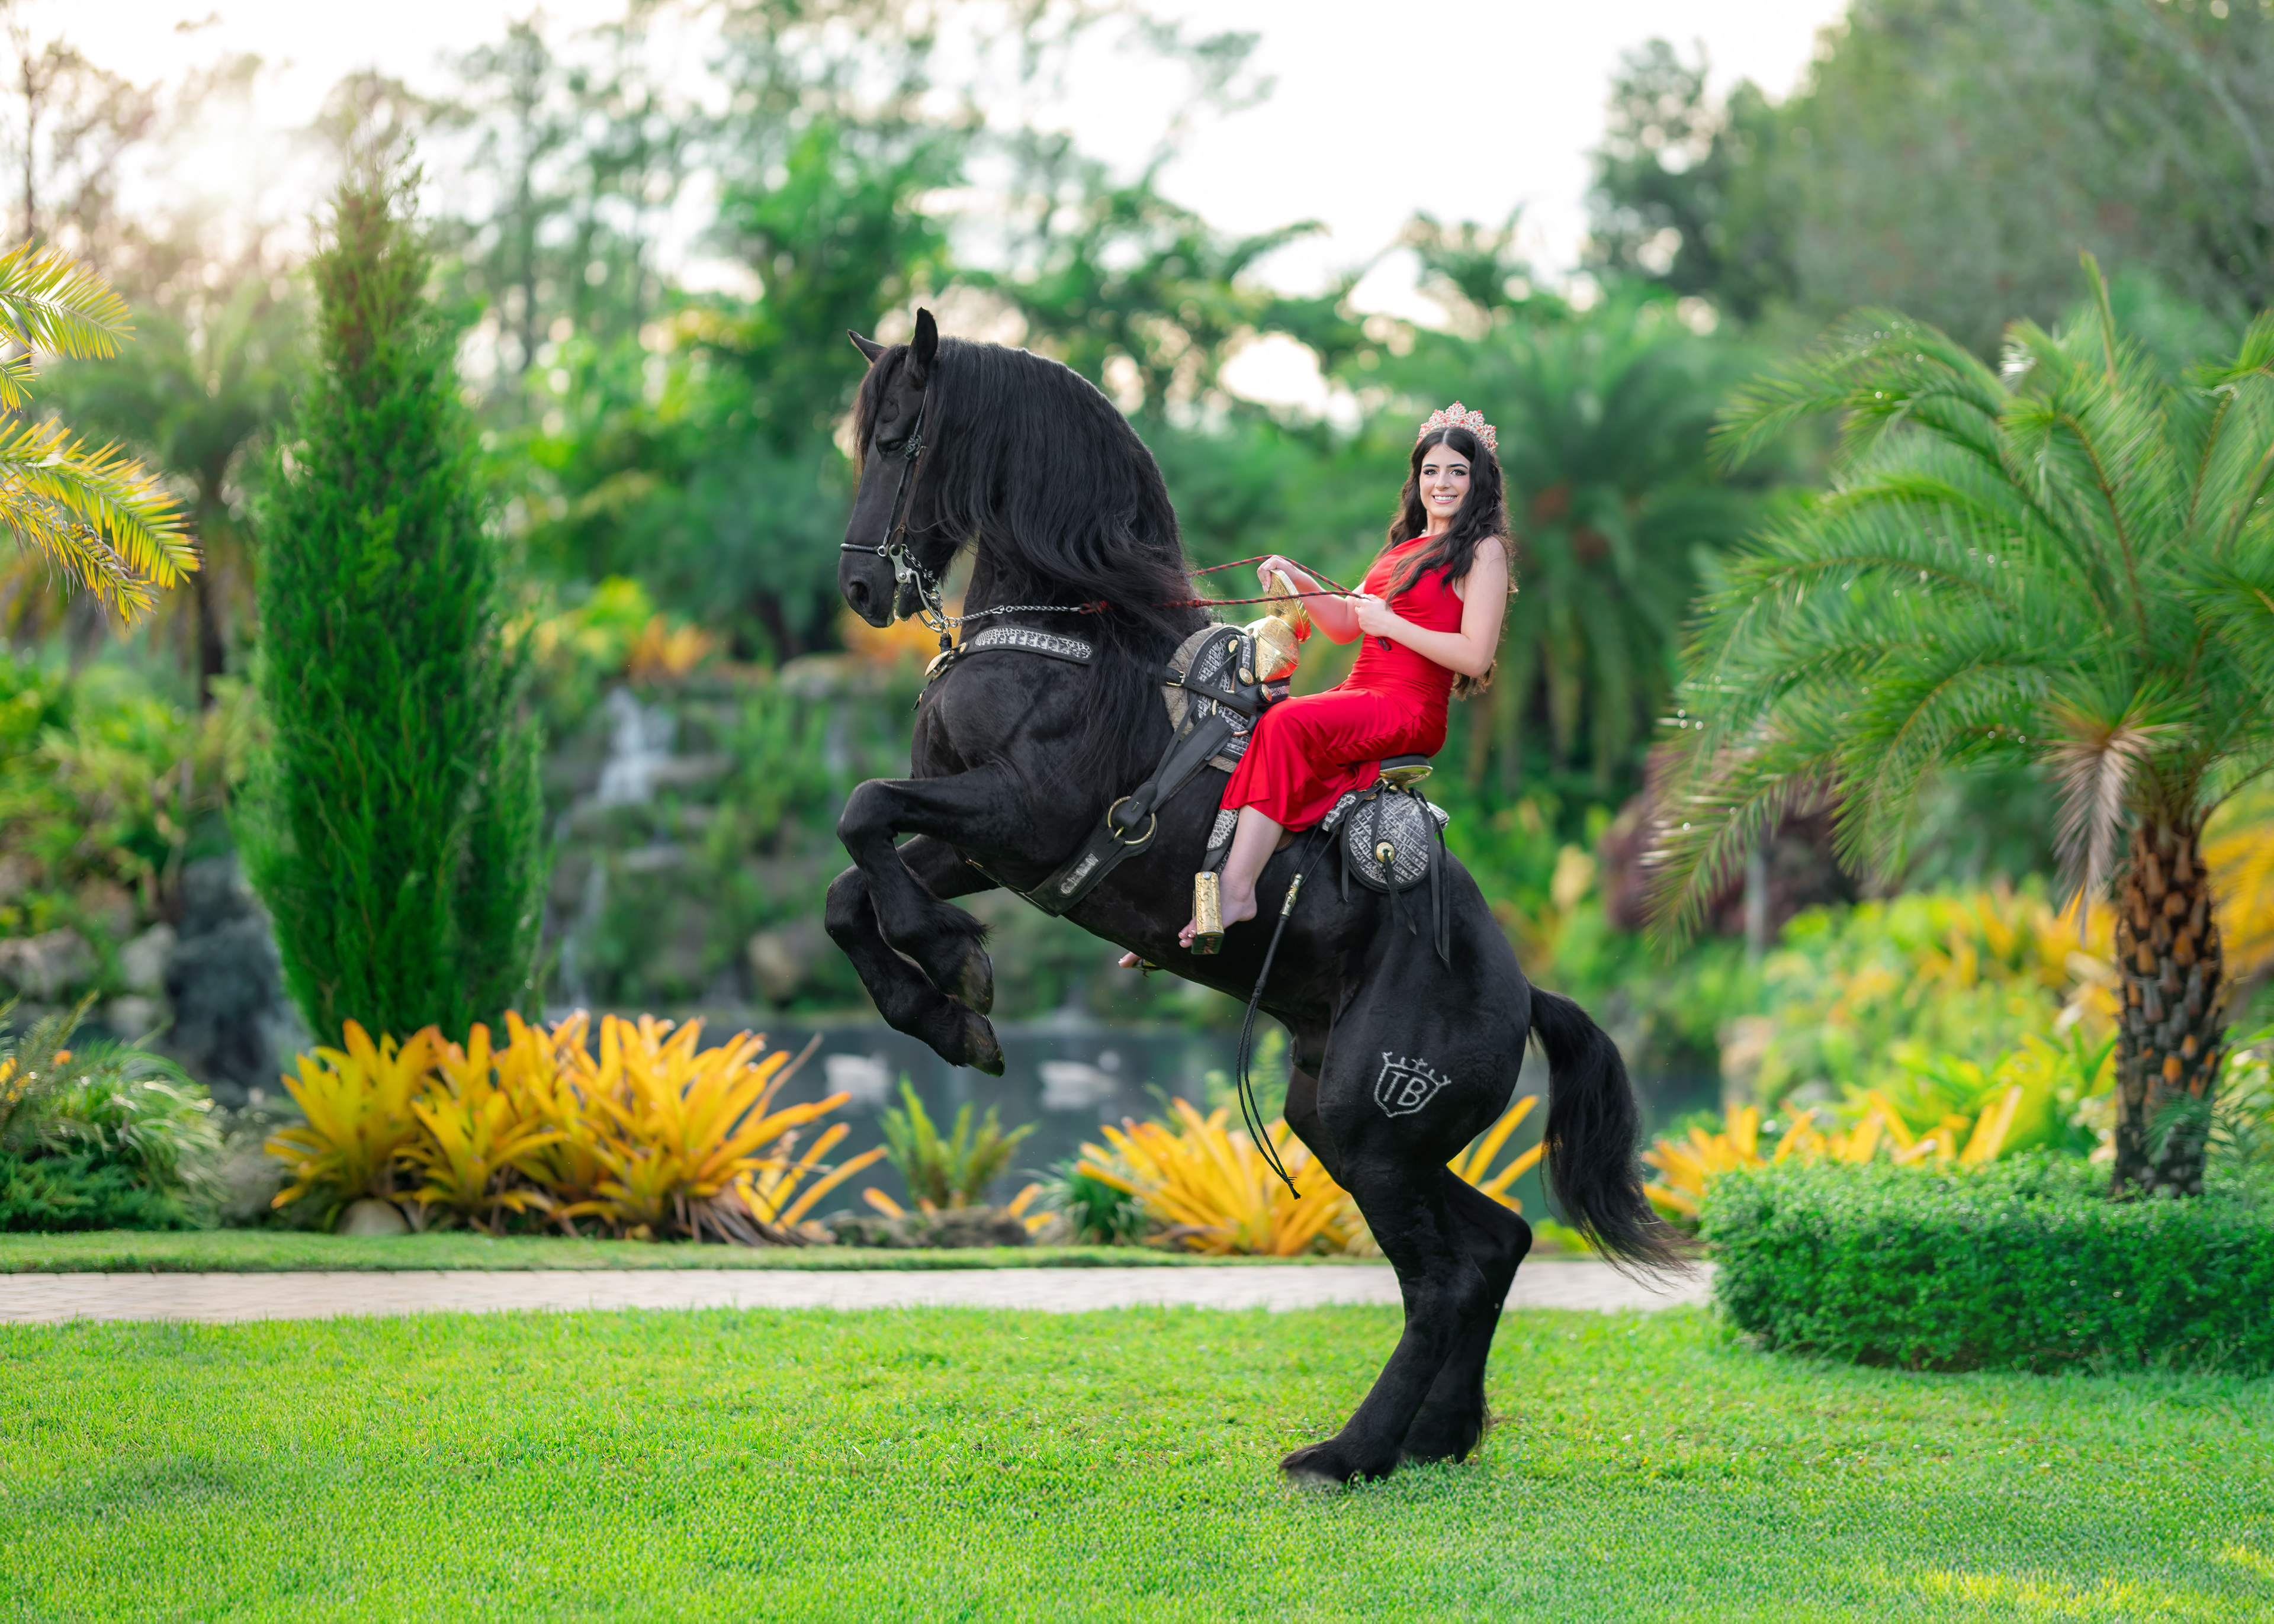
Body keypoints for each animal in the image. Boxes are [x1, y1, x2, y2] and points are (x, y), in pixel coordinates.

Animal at [825, 309, 1684, 1485]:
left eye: (898, 440)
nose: (861, 592)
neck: (1076, 635)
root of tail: (1523, 991)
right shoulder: (986, 846)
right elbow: (847, 886)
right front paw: (945, 1009)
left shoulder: (1016, 816)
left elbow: (862, 810)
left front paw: (954, 965)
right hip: (1342, 1121)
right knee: (1494, 1241)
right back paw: (1436, 1434)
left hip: (1374, 1130)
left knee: (1450, 1272)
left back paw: (1352, 1450)